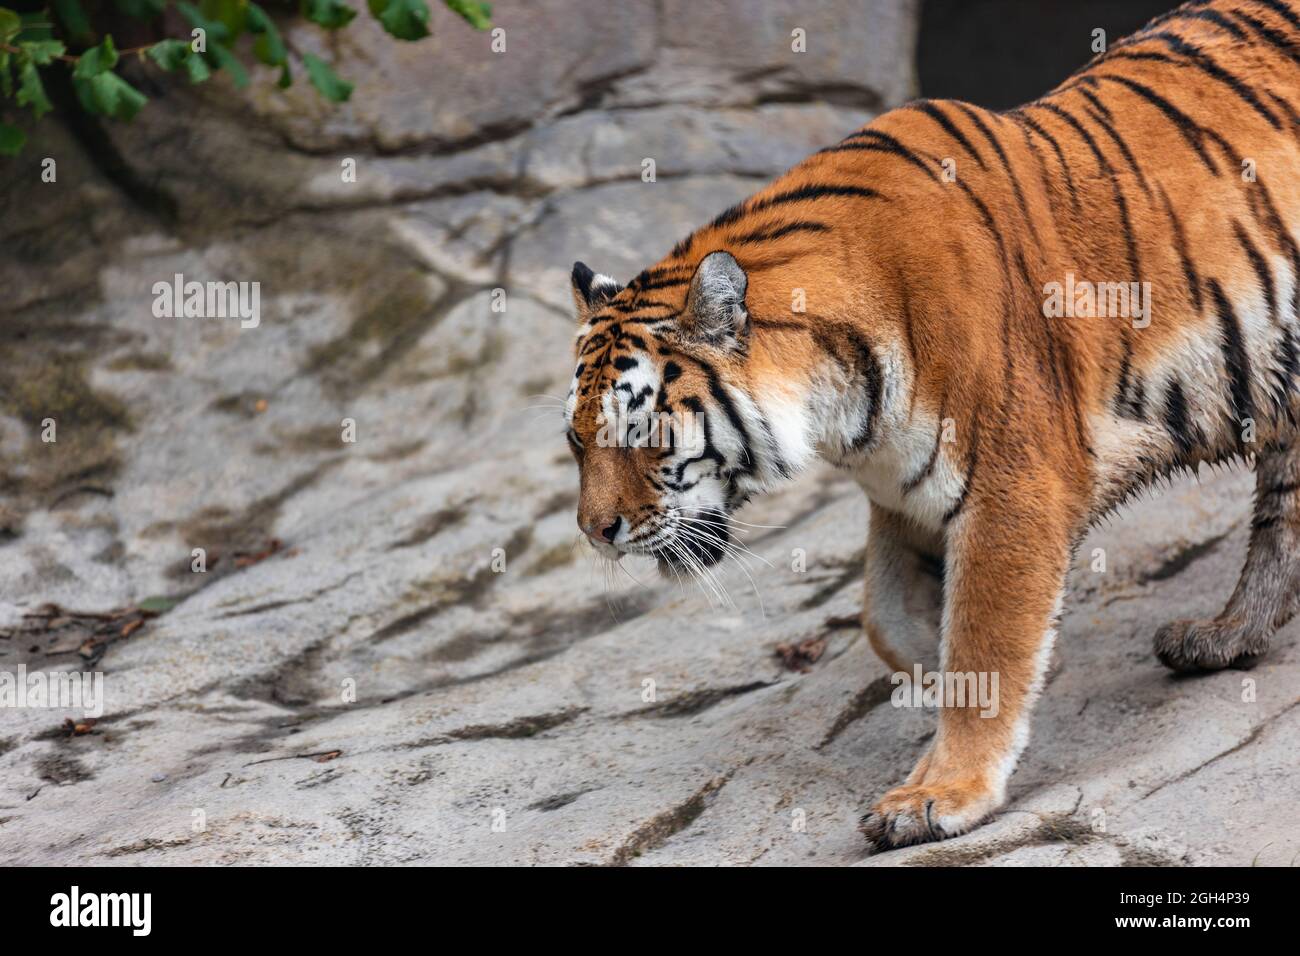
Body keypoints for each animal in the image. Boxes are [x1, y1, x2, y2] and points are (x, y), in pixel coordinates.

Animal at [564, 0, 1300, 853]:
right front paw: (960, 677)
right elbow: (885, 616)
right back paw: (1224, 636)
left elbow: (985, 633)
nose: (595, 532)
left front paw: (939, 794)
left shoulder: (1013, 487)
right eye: (576, 441)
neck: (840, 406)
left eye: (640, 435)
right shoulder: (904, 489)